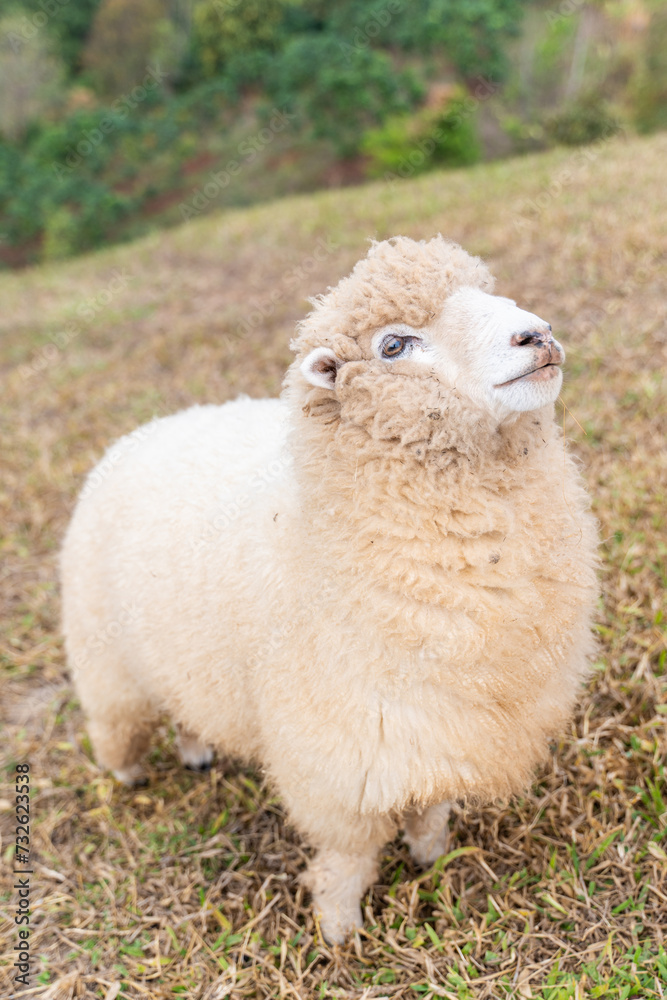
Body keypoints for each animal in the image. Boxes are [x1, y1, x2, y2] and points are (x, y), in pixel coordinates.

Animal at [61, 235, 599, 944]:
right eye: (393, 345)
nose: (536, 334)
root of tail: (142, 430)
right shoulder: (342, 759)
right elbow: (349, 856)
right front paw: (339, 929)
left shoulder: (442, 725)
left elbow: (430, 807)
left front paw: (429, 854)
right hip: (107, 662)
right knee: (116, 725)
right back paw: (127, 773)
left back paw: (197, 750)